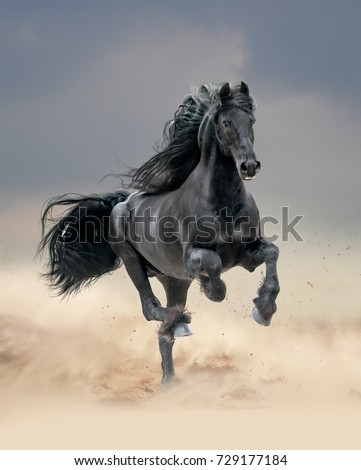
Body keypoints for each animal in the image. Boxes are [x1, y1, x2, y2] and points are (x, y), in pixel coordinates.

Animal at [40, 81, 282, 386]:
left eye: (251, 121)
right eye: (226, 122)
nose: (249, 166)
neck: (222, 201)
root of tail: (121, 203)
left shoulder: (247, 254)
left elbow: (272, 253)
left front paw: (263, 310)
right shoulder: (192, 255)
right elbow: (212, 264)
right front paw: (213, 288)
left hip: (175, 281)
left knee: (163, 334)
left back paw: (170, 381)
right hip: (134, 262)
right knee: (151, 308)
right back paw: (180, 324)